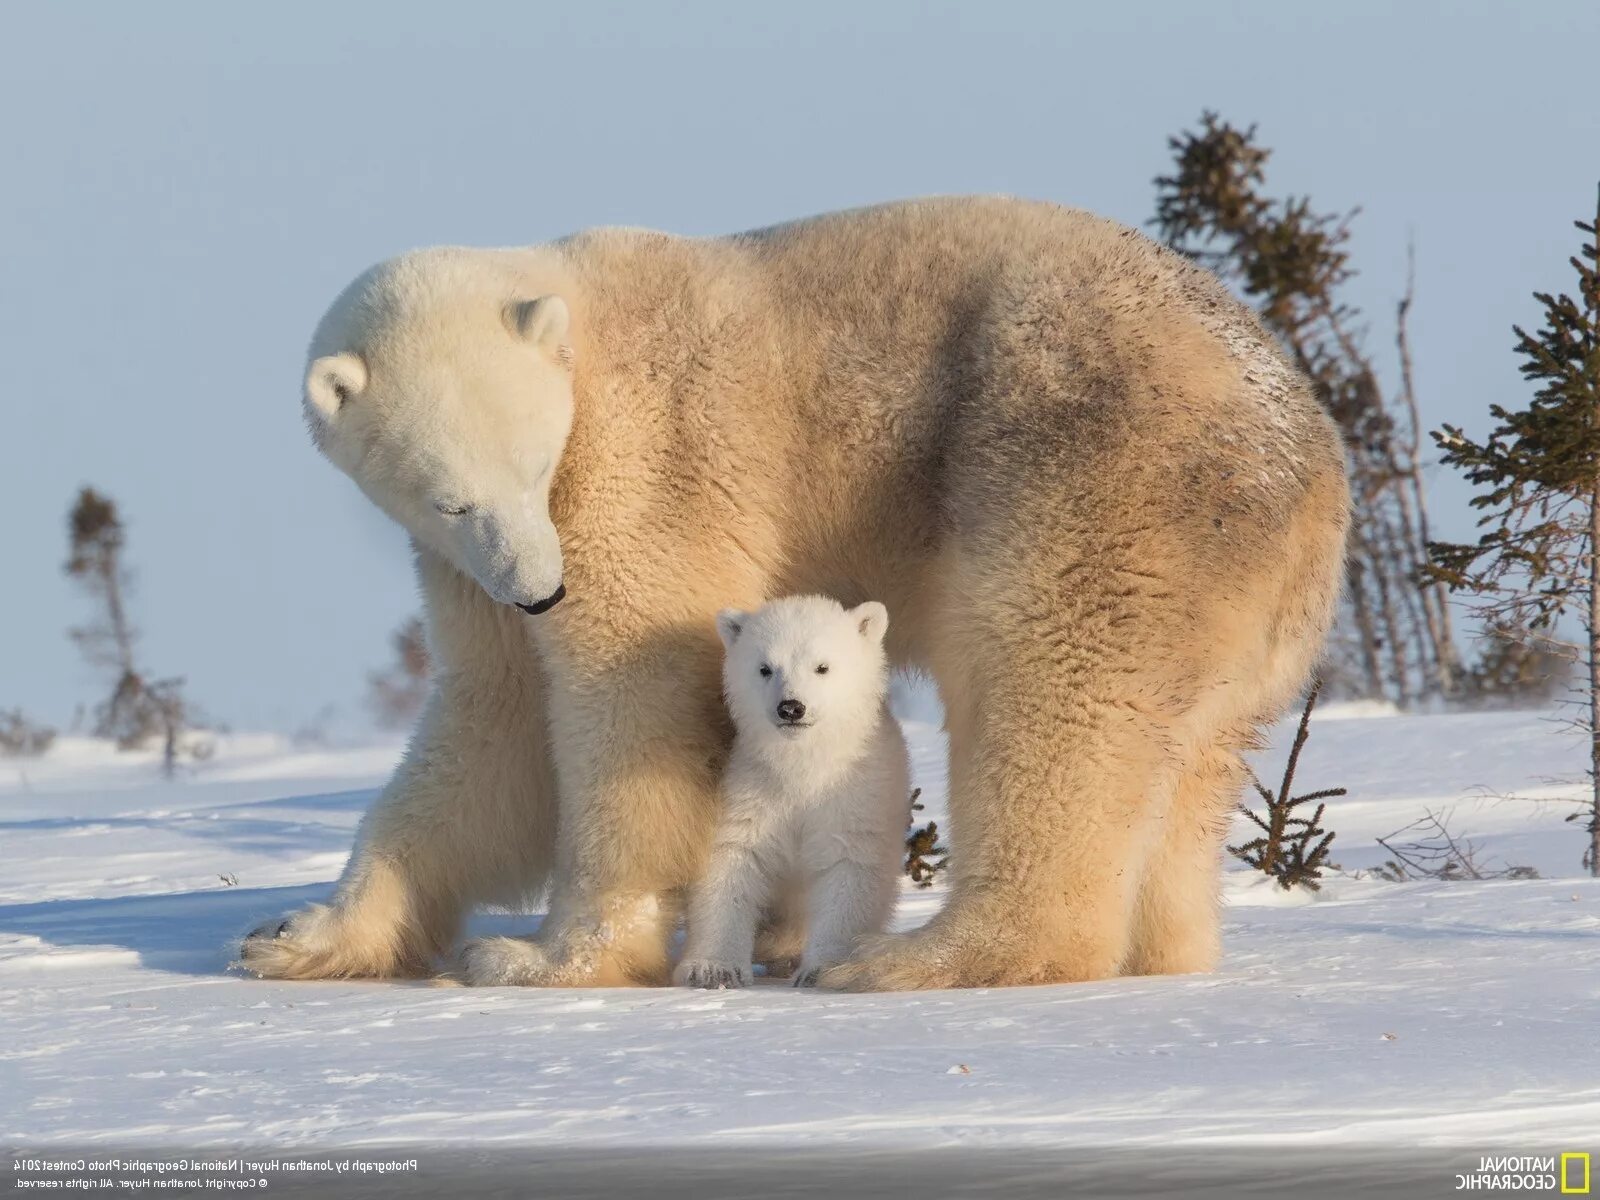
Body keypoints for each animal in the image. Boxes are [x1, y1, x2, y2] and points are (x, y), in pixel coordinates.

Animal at [243, 197, 1350, 992]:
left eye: (537, 463)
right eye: (450, 495)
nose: (544, 592)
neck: (576, 326)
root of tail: (1307, 453)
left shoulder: (643, 471)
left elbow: (631, 700)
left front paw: (542, 958)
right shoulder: (467, 570)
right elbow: (494, 724)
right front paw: (298, 936)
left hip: (1094, 472)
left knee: (1051, 693)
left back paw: (912, 960)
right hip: (1248, 602)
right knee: (1190, 758)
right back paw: (1165, 949)